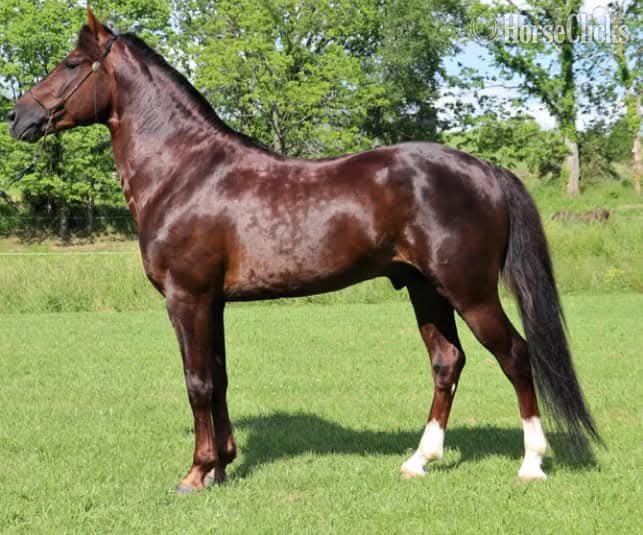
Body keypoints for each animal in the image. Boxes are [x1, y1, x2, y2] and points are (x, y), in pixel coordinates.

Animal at [8, 8, 601, 494]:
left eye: (70, 63)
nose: (17, 116)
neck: (186, 171)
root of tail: (486, 169)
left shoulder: (187, 298)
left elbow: (198, 383)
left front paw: (196, 474)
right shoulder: (213, 303)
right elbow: (219, 378)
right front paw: (223, 464)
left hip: (470, 291)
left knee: (516, 355)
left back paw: (531, 464)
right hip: (426, 290)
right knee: (447, 362)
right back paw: (419, 461)